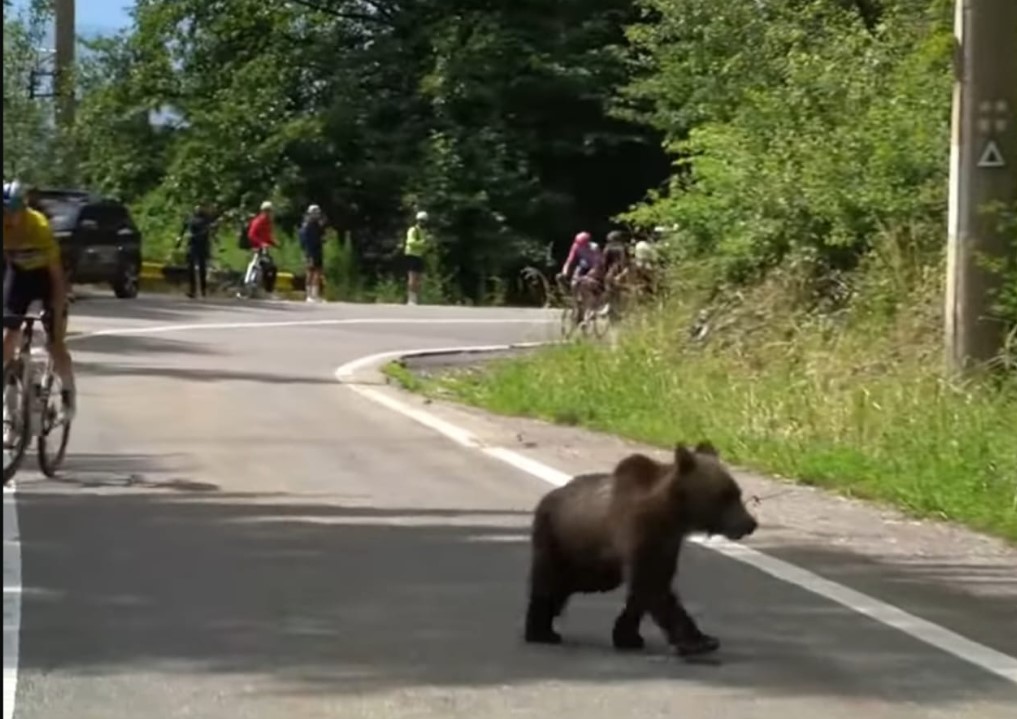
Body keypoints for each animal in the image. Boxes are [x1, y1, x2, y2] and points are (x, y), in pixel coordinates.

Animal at [523, 441, 758, 656]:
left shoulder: (667, 543)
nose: (750, 523)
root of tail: (547, 498)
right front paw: (698, 642)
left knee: (567, 585)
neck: (672, 515)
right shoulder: (639, 531)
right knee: (547, 581)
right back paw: (540, 632)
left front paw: (628, 636)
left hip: (587, 562)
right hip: (557, 539)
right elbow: (653, 585)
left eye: (737, 492)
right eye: (725, 495)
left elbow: (647, 589)